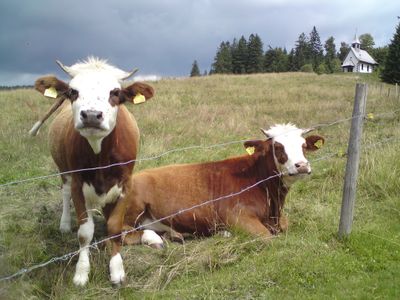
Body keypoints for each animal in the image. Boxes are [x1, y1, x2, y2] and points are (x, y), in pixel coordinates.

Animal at [33, 58, 161, 286]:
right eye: (73, 91)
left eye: (115, 92)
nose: (91, 115)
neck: (100, 156)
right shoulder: (77, 184)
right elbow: (85, 232)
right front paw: (81, 272)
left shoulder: (125, 185)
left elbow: (114, 227)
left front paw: (117, 268)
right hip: (63, 171)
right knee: (65, 192)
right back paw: (65, 223)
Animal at [123, 123, 324, 245]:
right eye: (278, 147)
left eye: (304, 146)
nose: (302, 165)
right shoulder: (237, 216)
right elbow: (268, 238)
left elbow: (287, 224)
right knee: (125, 234)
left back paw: (177, 234)